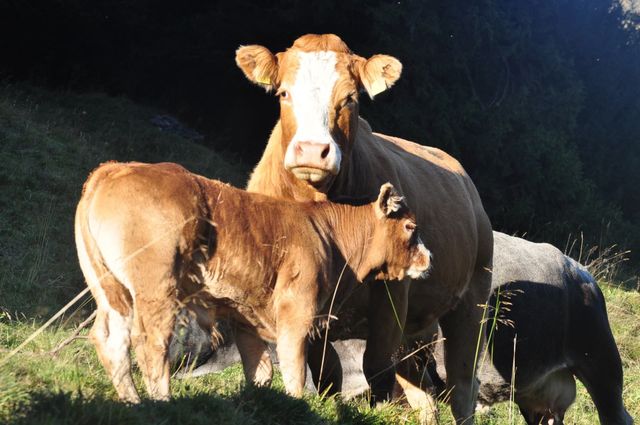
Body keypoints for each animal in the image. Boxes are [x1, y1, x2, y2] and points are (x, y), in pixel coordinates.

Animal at [75, 160, 430, 400]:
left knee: (111, 340)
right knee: (151, 343)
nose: (429, 259)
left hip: (111, 290)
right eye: (410, 227)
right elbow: (294, 370)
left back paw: (132, 401)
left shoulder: (247, 317)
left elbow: (261, 372)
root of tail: (115, 168)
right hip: (156, 287)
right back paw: (160, 402)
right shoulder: (297, 312)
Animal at [238, 32, 492, 420]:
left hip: (472, 300)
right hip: (419, 323)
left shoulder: (392, 292)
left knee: (461, 385)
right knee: (422, 385)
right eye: (283, 93)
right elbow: (327, 371)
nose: (312, 151)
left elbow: (376, 365)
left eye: (350, 98)